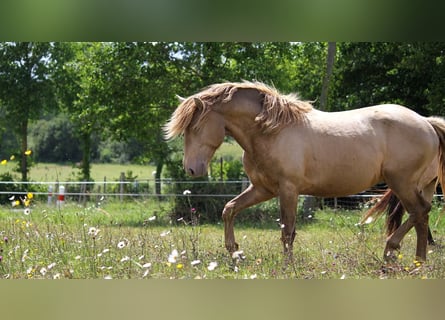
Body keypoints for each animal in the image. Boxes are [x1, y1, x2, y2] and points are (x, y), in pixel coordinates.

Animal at [164, 81, 445, 262]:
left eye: (195, 128)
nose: (191, 169)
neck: (271, 130)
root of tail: (426, 123)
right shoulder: (263, 189)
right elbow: (229, 209)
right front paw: (235, 251)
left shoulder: (288, 189)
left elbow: (287, 230)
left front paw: (287, 265)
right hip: (421, 186)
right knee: (422, 216)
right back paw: (418, 260)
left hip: (402, 183)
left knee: (419, 212)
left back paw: (392, 250)